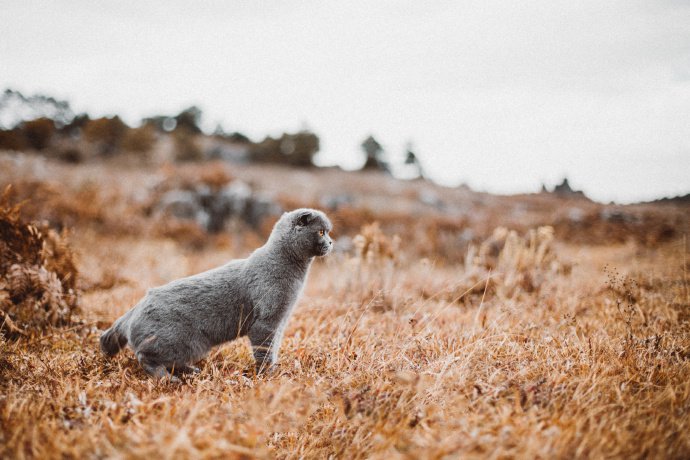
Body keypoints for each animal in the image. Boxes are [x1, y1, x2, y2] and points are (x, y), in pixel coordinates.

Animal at [98, 209, 332, 380]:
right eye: (321, 232)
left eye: (327, 232)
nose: (331, 242)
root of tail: (137, 305)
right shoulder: (266, 322)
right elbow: (264, 352)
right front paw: (268, 376)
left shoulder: (281, 322)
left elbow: (273, 348)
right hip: (181, 341)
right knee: (145, 357)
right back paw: (167, 378)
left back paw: (191, 371)